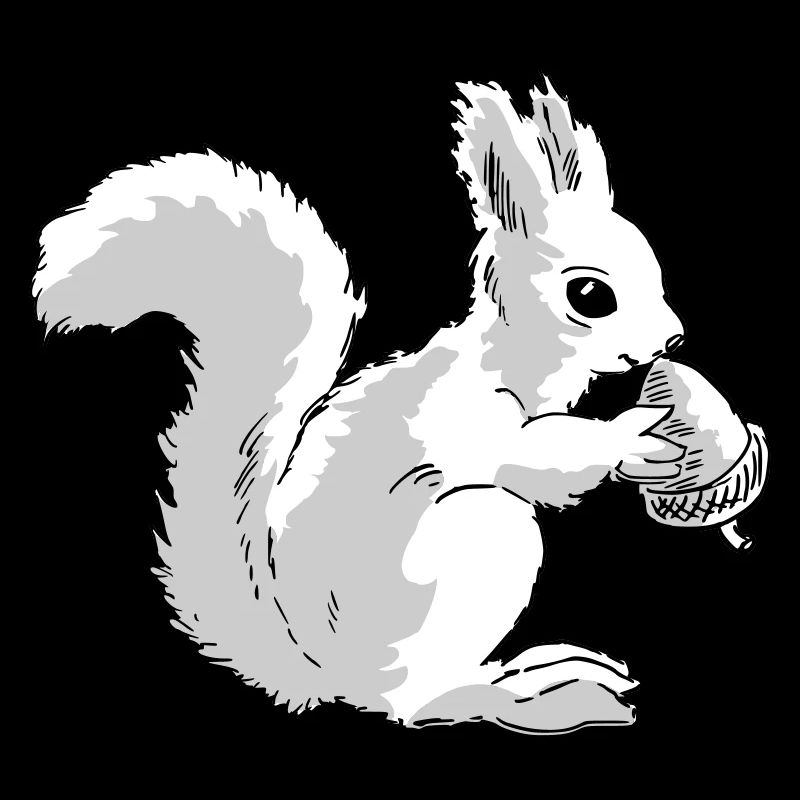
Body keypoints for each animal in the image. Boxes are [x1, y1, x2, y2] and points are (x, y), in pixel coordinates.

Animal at [33, 80, 688, 734]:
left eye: (654, 268)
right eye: (590, 295)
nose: (672, 341)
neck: (518, 360)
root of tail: (330, 675)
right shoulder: (466, 416)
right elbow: (537, 459)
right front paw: (637, 431)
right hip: (482, 539)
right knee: (417, 703)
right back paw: (529, 696)